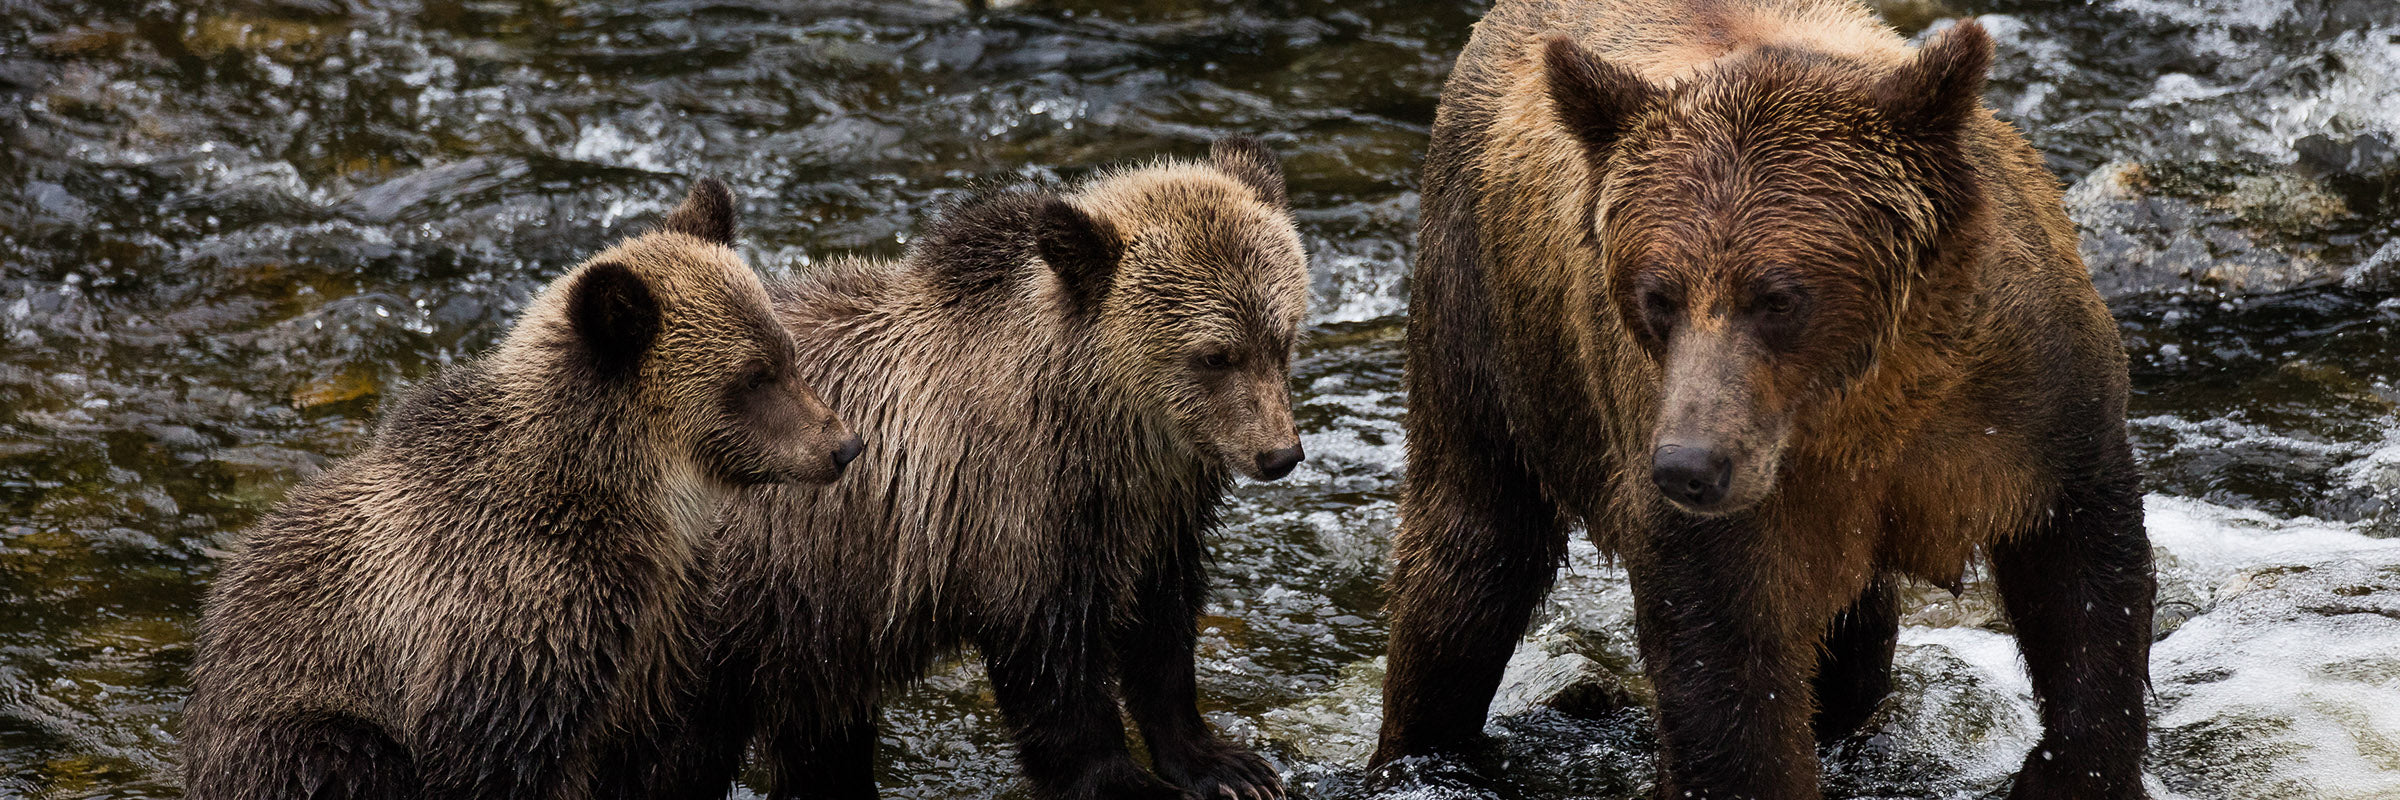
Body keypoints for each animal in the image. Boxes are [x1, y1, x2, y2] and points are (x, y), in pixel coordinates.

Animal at [181, 179, 864, 800]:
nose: (843, 444)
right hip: (306, 728)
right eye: (753, 377)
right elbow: (491, 763)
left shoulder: (660, 640)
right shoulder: (509, 632)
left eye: (787, 353)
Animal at [665, 138, 1310, 800]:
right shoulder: (1009, 515)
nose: (1279, 454)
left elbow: (1163, 638)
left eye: (1281, 336)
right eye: (1214, 356)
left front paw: (1227, 765)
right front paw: (1128, 781)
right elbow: (1053, 673)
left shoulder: (1154, 521)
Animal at [1371, 2, 2154, 799]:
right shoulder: (1715, 494)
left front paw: (2073, 768)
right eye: (1658, 295)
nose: (1689, 466)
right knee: (1470, 563)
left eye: (1778, 297)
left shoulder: (2030, 408)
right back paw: (1423, 747)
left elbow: (2086, 582)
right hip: (1486, 332)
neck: (1865, 407)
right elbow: (1726, 670)